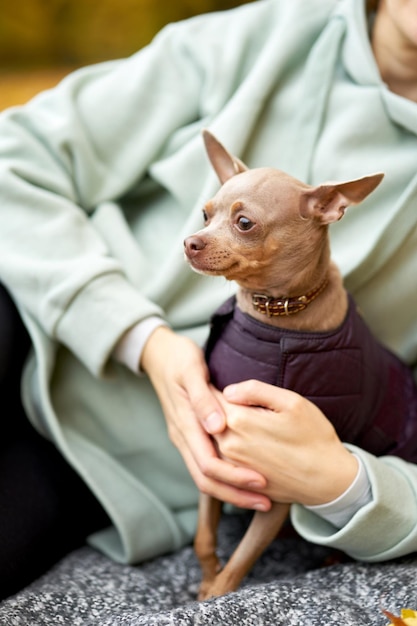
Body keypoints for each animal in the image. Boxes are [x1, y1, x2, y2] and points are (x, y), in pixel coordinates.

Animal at [184, 130, 414, 600]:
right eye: (205, 214)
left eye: (245, 223)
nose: (190, 242)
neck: (275, 314)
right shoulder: (213, 449)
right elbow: (203, 534)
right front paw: (206, 579)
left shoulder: (279, 491)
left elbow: (241, 561)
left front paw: (216, 591)